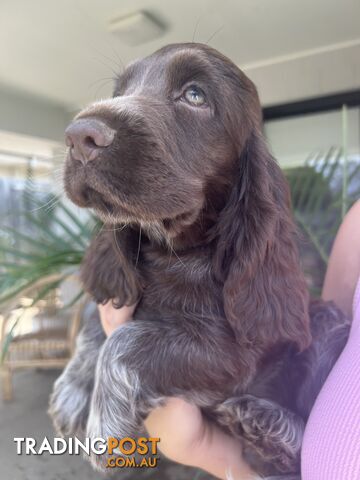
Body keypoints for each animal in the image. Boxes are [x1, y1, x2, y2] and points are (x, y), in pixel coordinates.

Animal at [48, 43, 348, 478]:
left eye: (195, 95)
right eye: (122, 91)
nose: (78, 136)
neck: (173, 248)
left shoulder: (232, 355)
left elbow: (126, 339)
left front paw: (105, 426)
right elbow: (98, 315)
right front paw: (73, 388)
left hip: (326, 318)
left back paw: (266, 427)